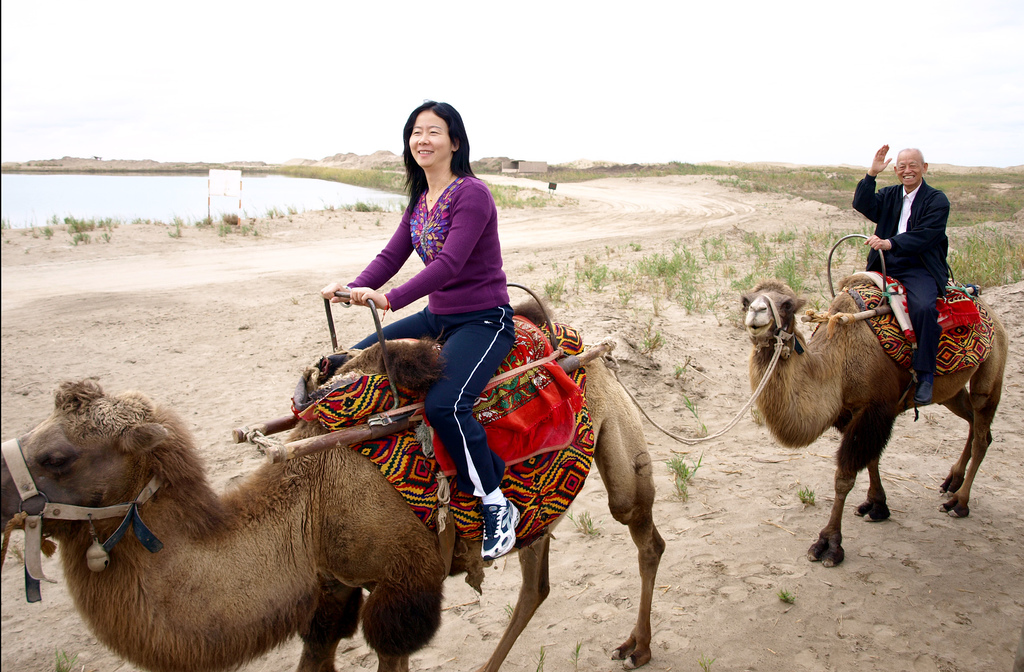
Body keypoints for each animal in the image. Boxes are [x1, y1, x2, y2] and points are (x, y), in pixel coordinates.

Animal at [1, 333, 664, 671]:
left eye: (57, 456)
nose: (1, 488)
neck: (312, 502)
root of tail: (584, 346)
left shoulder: (403, 588)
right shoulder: (332, 586)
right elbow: (318, 645)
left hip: (616, 434)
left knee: (642, 531)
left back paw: (637, 647)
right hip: (541, 502)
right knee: (536, 581)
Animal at [741, 278, 1007, 567]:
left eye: (787, 304)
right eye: (745, 300)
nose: (756, 312)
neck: (838, 363)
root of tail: (988, 309)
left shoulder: (875, 409)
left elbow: (844, 477)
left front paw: (829, 544)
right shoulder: (852, 413)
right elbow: (871, 459)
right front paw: (877, 505)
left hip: (992, 369)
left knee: (982, 430)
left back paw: (959, 503)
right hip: (950, 392)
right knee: (973, 420)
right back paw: (952, 481)